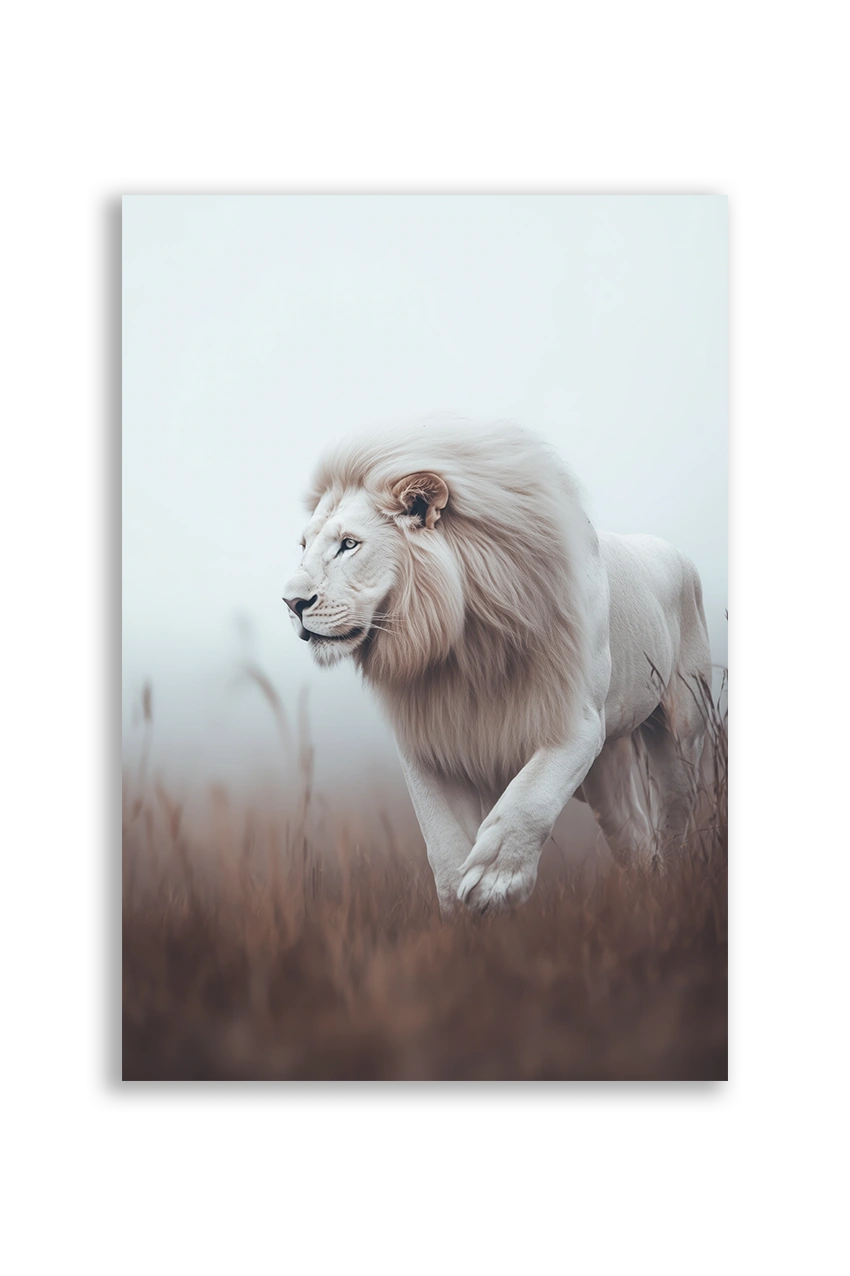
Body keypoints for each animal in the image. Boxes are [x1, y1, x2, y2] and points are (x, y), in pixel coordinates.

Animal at [283, 418, 712, 917]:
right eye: (305, 545)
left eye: (348, 545)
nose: (291, 603)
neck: (463, 645)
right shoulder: (430, 740)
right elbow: (443, 840)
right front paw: (464, 912)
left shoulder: (576, 720)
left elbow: (529, 798)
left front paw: (494, 881)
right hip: (608, 765)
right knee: (633, 835)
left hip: (681, 728)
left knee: (674, 809)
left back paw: (672, 891)